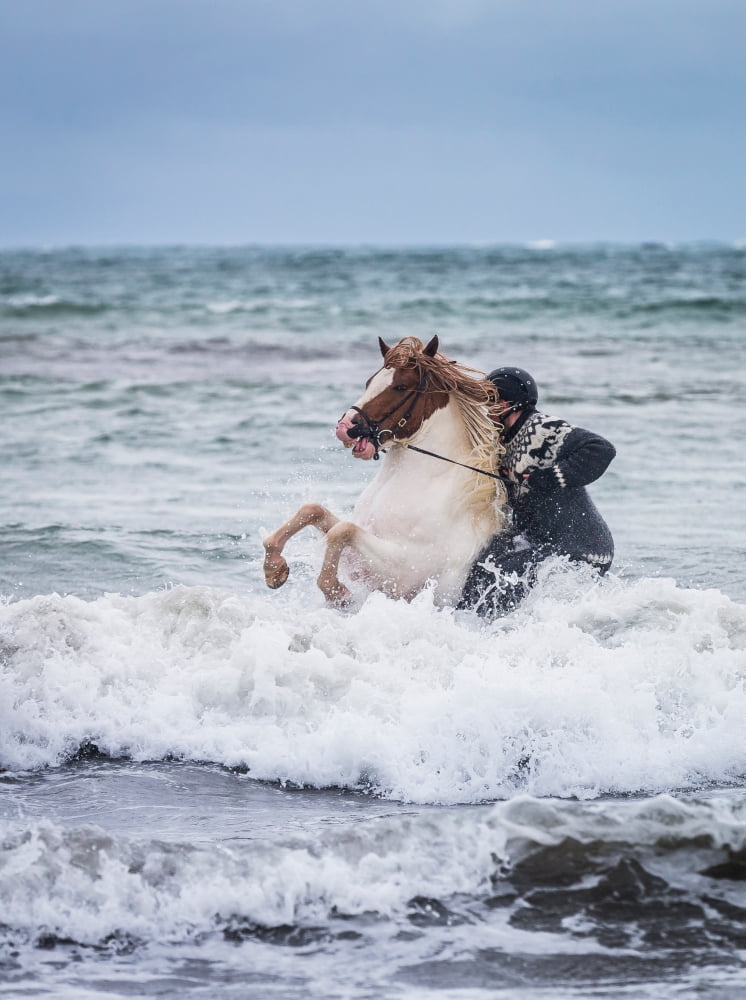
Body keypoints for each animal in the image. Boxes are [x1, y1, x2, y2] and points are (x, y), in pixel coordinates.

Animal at [262, 335, 507, 608]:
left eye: (400, 387)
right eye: (369, 382)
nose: (345, 428)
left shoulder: (403, 576)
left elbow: (342, 531)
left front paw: (337, 592)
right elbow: (315, 511)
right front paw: (274, 569)